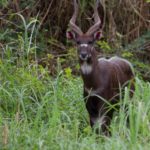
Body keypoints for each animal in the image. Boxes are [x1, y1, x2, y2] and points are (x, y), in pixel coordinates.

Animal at [66, 0, 134, 134]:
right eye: (77, 42)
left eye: (91, 41)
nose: (83, 54)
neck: (93, 85)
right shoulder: (89, 105)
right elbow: (95, 126)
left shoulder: (105, 103)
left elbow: (103, 127)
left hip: (128, 100)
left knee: (128, 118)